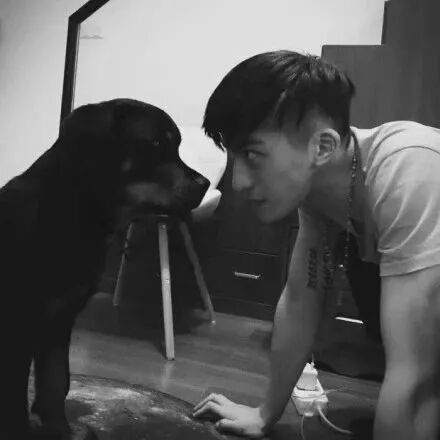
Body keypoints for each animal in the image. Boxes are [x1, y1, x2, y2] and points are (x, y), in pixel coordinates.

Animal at [0, 98, 209, 439]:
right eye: (155, 145)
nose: (206, 184)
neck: (70, 211)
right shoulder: (18, 326)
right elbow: (14, 400)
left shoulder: (59, 318)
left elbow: (56, 380)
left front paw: (62, 428)